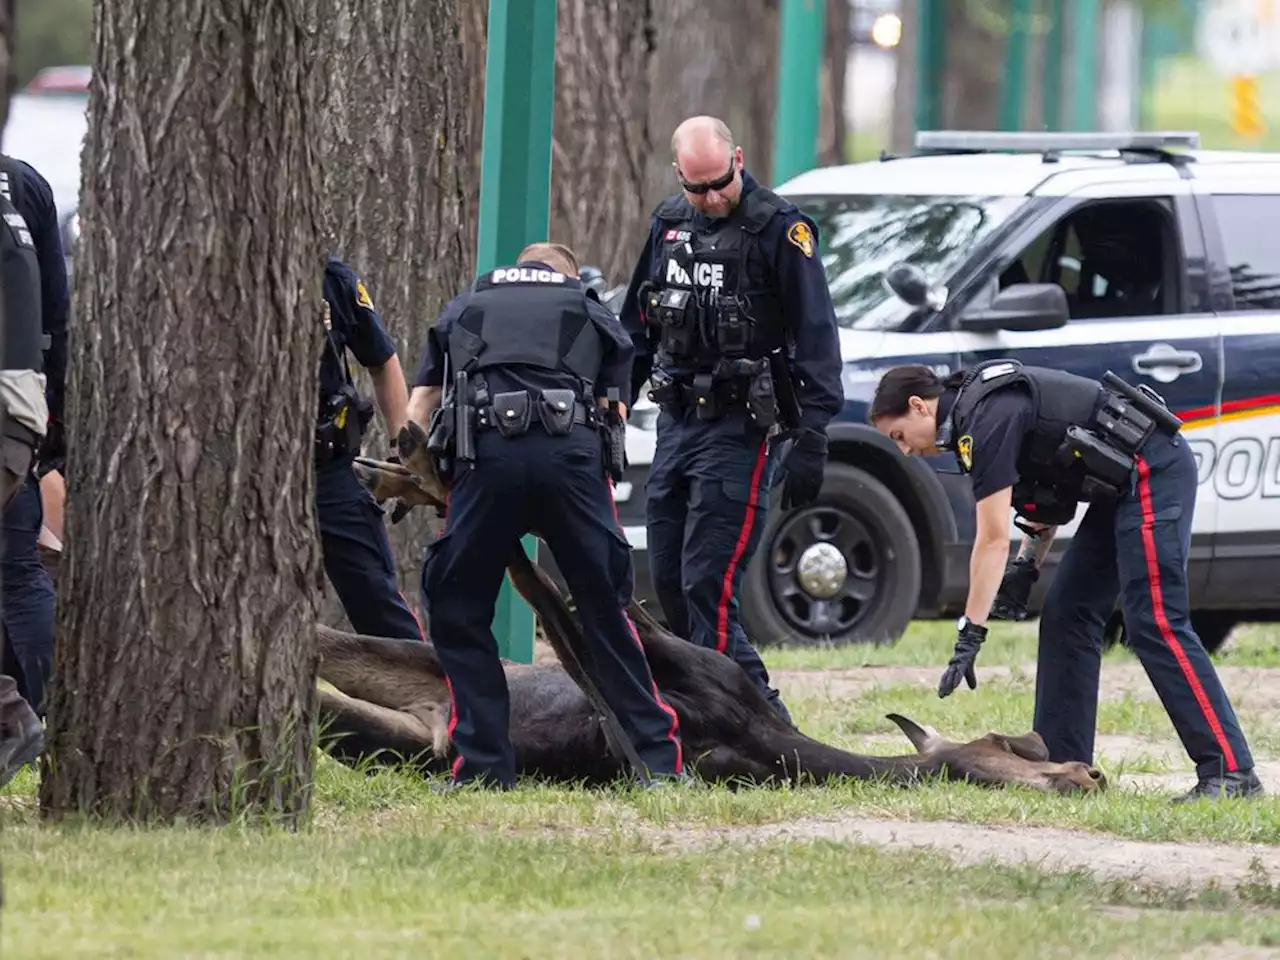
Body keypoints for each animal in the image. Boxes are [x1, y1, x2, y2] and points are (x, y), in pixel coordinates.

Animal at [317, 422, 1100, 798]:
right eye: (1015, 755)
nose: (1090, 776)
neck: (769, 747)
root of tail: (431, 718)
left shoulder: (650, 718)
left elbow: (554, 594)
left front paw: (428, 473)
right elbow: (567, 582)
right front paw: (422, 472)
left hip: (397, 733)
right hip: (411, 671)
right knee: (328, 639)